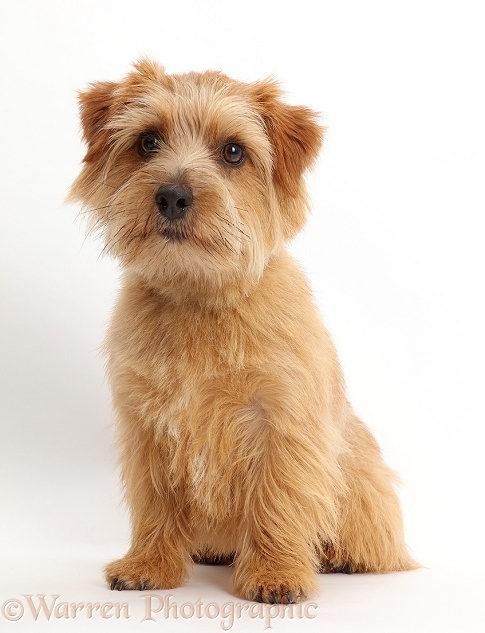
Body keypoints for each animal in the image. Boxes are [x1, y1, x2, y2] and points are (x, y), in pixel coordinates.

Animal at [68, 60, 416, 608]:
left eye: (234, 151)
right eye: (147, 141)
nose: (172, 195)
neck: (199, 297)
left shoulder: (282, 422)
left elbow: (278, 497)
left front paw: (275, 573)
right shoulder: (147, 427)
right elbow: (155, 502)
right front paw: (148, 564)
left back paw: (335, 555)